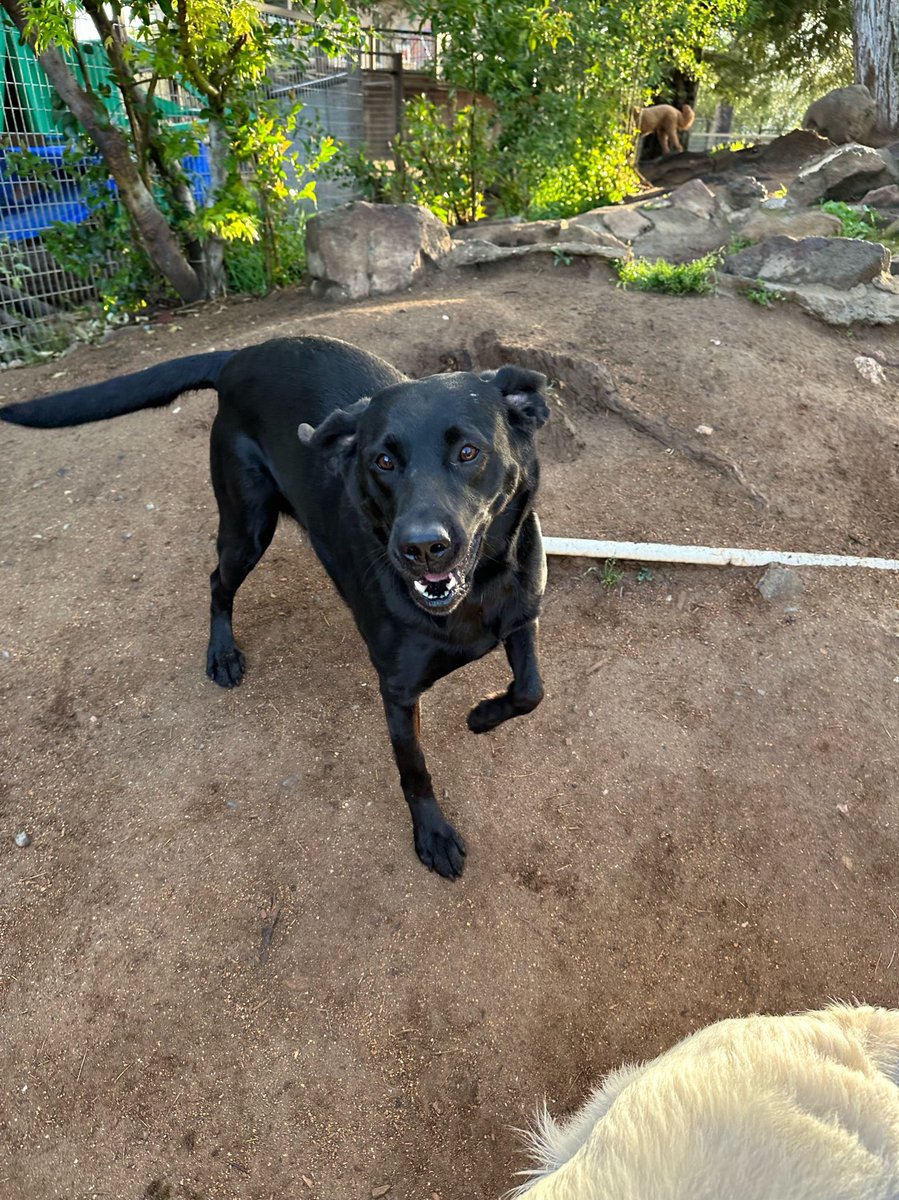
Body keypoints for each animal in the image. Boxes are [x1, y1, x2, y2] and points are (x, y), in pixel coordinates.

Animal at [0, 333, 549, 878]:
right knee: (217, 582)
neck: (477, 591)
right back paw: (222, 653)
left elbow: (531, 690)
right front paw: (432, 835)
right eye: (383, 462)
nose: (421, 548)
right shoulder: (398, 690)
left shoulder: (522, 613)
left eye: (468, 452)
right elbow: (414, 770)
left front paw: (483, 714)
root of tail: (242, 355)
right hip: (247, 525)